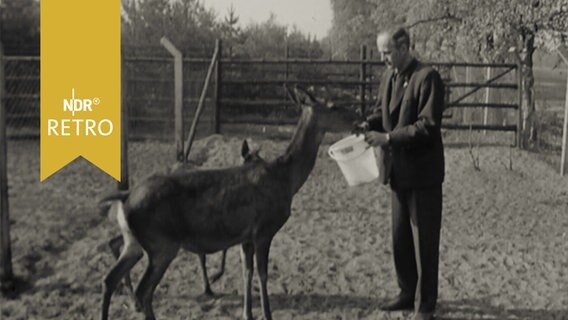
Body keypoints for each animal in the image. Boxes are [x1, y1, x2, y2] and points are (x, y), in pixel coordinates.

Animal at [100, 140, 264, 302]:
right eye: (249, 161)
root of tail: (124, 197)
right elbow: (211, 254)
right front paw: (211, 281)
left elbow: (216, 252)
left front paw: (211, 282)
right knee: (117, 244)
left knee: (116, 245)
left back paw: (125, 288)